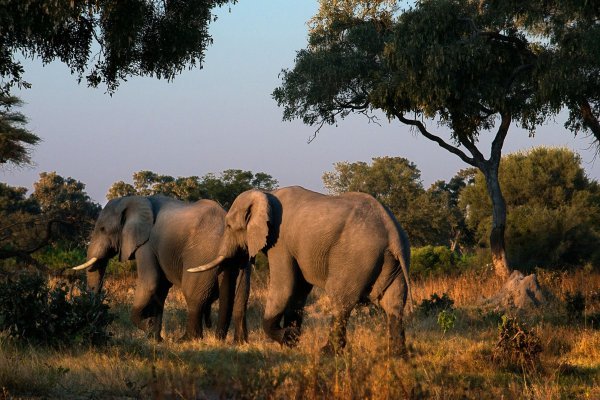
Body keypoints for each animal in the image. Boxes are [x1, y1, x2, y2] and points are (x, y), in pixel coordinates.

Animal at [73, 195, 251, 342]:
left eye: (103, 229)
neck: (134, 199)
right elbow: (160, 290)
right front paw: (155, 338)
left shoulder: (146, 245)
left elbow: (151, 283)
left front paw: (148, 329)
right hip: (240, 258)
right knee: (241, 296)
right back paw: (237, 341)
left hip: (202, 254)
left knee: (193, 295)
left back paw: (186, 340)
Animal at [189, 186, 412, 354]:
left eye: (228, 226)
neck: (266, 194)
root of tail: (393, 233)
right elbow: (299, 290)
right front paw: (292, 341)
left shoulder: (280, 241)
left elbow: (285, 286)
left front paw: (287, 338)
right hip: (395, 263)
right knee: (394, 304)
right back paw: (398, 355)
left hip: (356, 257)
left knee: (341, 301)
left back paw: (327, 352)